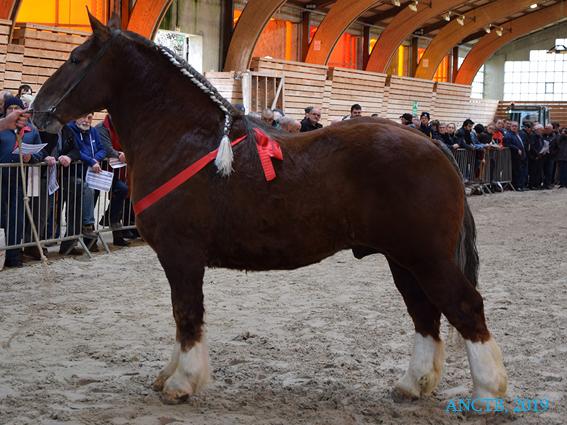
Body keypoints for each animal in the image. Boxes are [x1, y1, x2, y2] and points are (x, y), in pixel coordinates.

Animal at [33, 14, 508, 404]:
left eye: (76, 58)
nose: (38, 113)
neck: (186, 140)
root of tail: (433, 145)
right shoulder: (180, 258)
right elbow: (182, 316)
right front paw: (170, 374)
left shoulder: (181, 254)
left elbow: (186, 315)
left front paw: (181, 383)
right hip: (402, 259)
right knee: (425, 313)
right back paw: (413, 385)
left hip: (426, 258)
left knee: (465, 307)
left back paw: (488, 393)